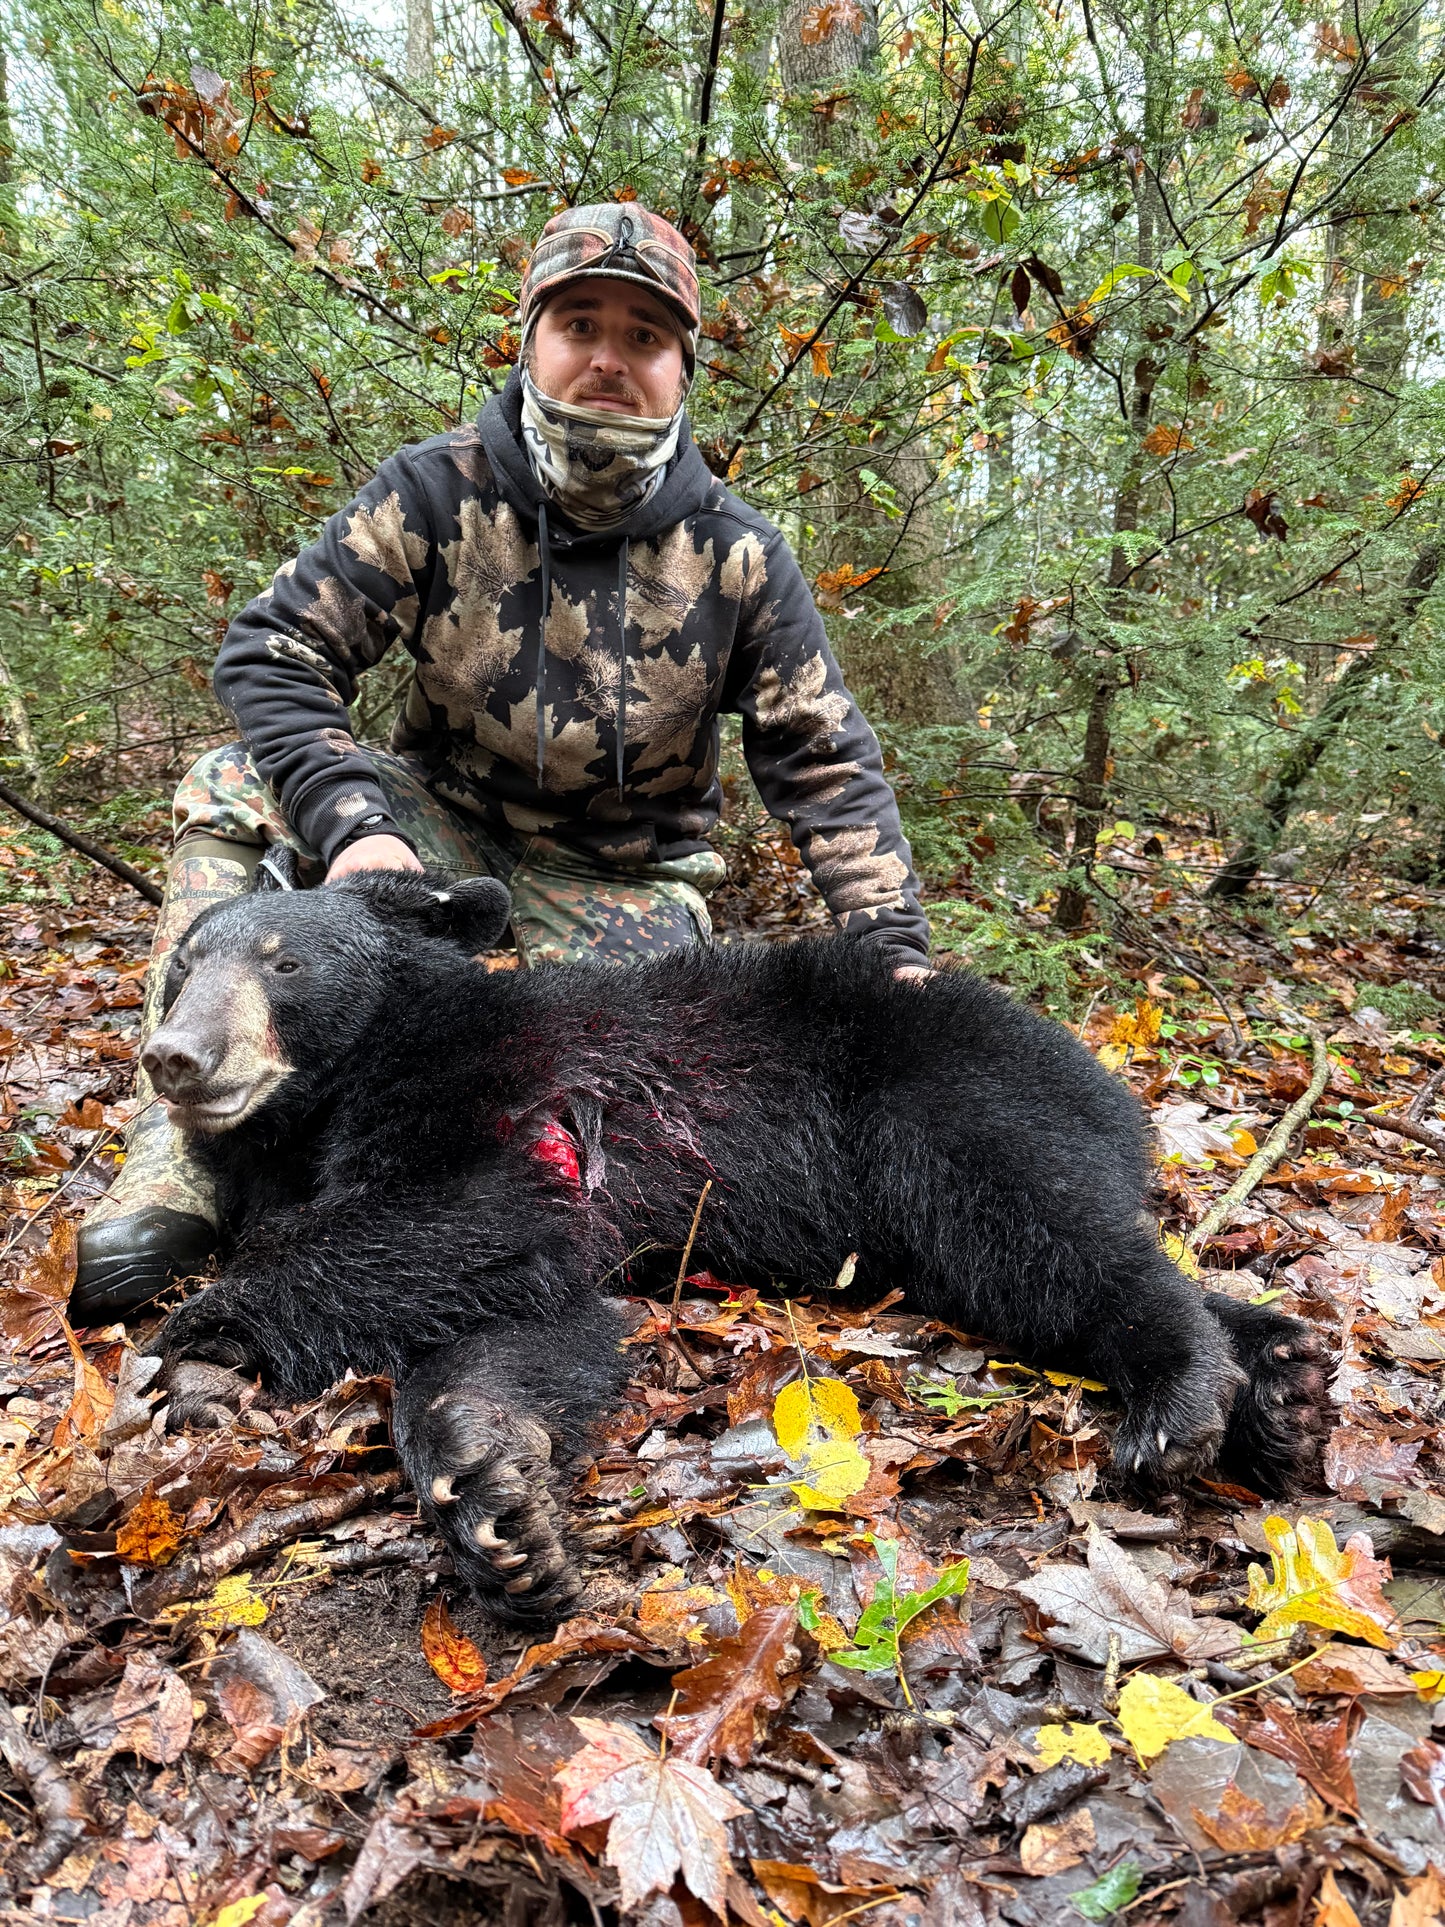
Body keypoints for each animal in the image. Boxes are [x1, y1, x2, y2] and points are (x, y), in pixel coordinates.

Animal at [135, 864, 1327, 1624]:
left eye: (284, 964)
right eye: (182, 963)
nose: (176, 1055)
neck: (326, 1104)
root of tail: (1110, 1086)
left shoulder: (501, 1099)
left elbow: (471, 1215)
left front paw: (194, 1336)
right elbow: (534, 1318)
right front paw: (497, 1494)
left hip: (934, 1109)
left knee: (1045, 1232)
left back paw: (1183, 1394)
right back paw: (1284, 1378)